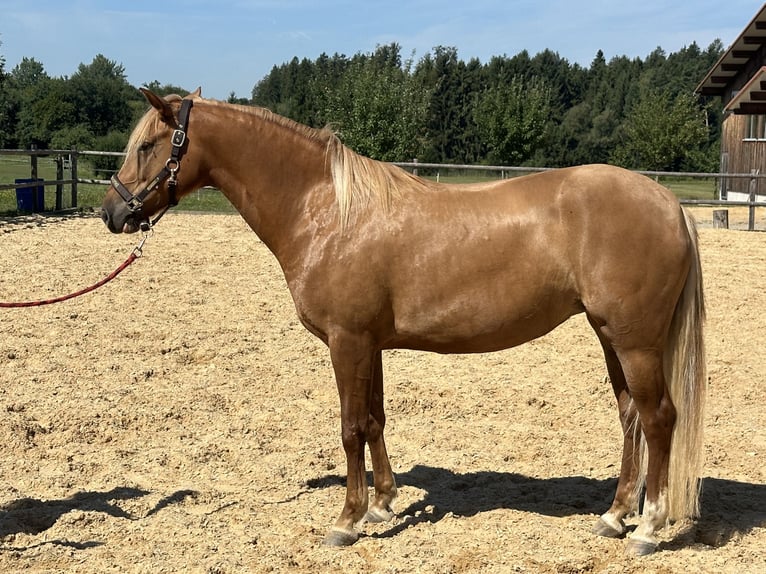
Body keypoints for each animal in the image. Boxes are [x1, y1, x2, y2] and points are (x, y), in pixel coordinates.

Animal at [101, 88, 706, 556]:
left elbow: (350, 427)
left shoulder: (347, 342)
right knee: (631, 416)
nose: (112, 212)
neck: (325, 211)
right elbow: (375, 420)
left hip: (635, 342)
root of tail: (669, 203)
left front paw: (346, 521)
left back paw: (648, 528)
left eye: (149, 145)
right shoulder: (369, 344)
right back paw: (615, 515)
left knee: (659, 419)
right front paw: (383, 504)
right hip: (611, 337)